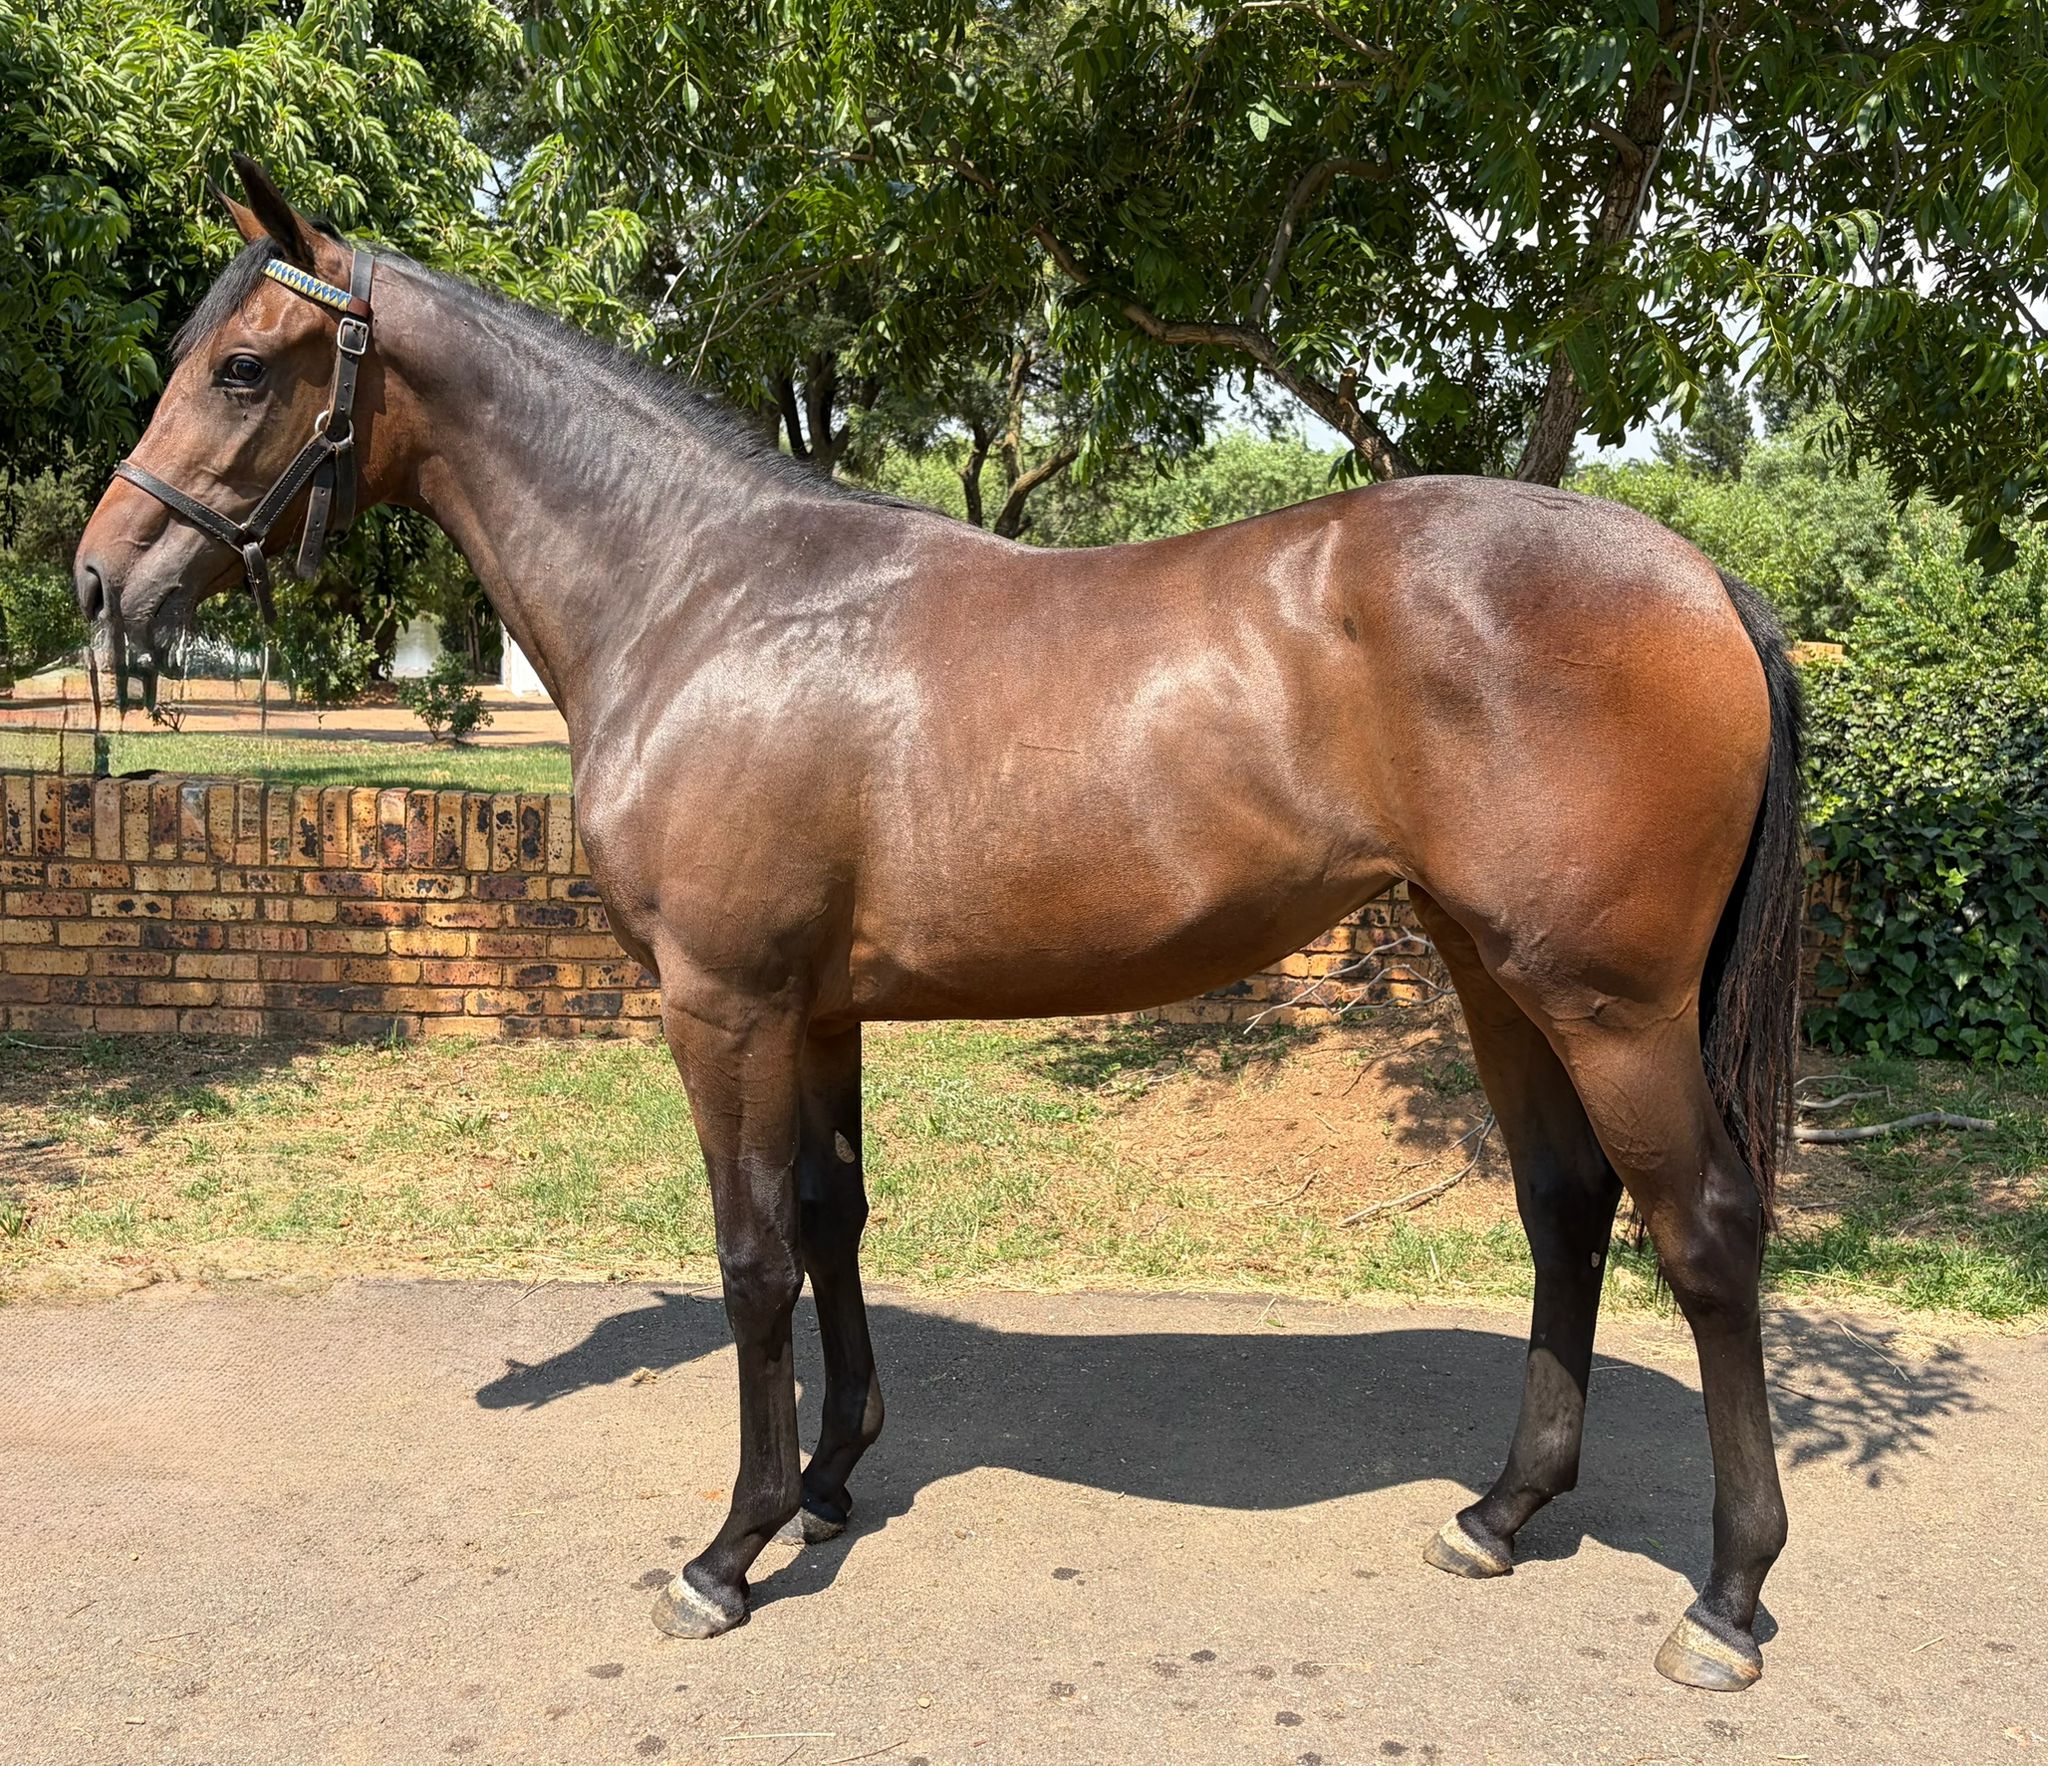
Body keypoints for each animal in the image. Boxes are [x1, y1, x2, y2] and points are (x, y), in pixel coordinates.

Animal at [75, 159, 1803, 1693]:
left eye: (241, 366)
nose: (100, 581)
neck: (704, 595)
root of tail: (1702, 573)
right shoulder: (819, 1007)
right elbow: (833, 1218)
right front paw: (834, 1480)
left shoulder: (722, 1002)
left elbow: (753, 1253)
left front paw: (731, 1549)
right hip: (1494, 972)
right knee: (1566, 1208)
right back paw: (1501, 1513)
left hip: (1610, 1001)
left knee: (1705, 1232)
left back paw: (1725, 1600)